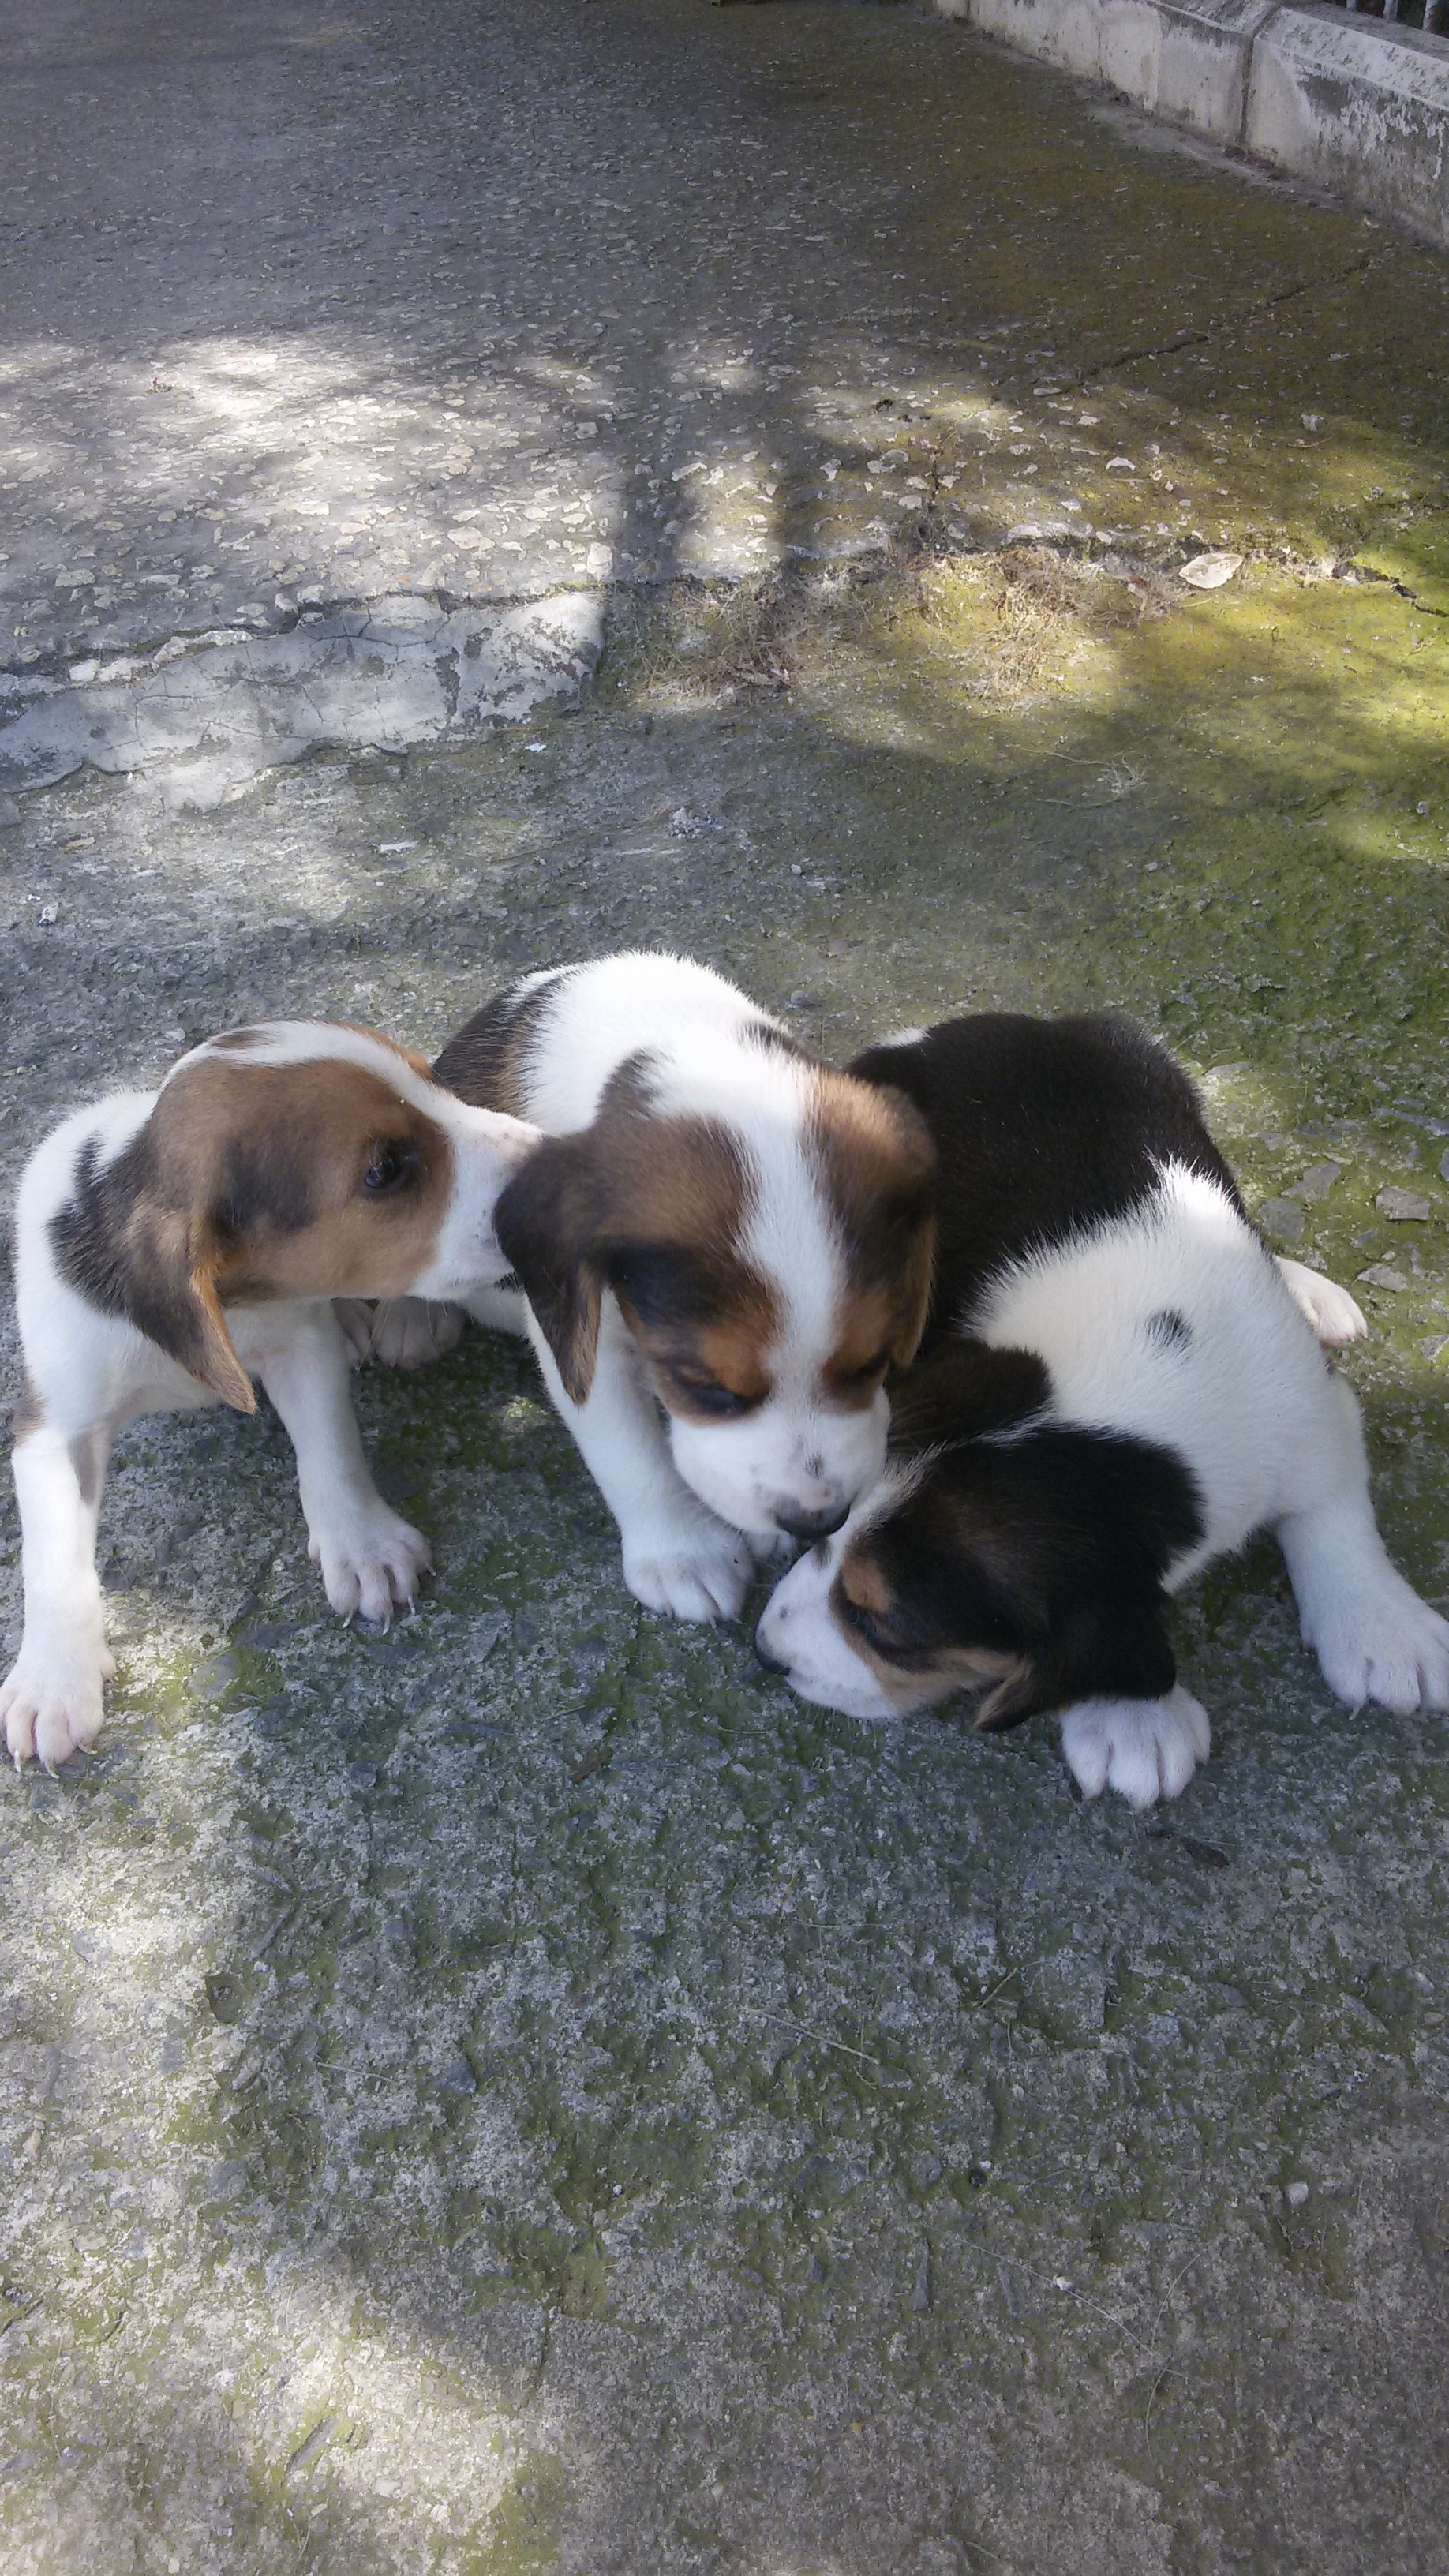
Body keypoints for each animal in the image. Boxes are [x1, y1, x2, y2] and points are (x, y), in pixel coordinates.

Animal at [2, 1021, 538, 1768]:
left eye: (435, 1081)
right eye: (384, 1170)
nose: (555, 1158)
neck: (232, 1304)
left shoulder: (301, 1347)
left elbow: (332, 1452)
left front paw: (361, 1543)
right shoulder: (52, 1429)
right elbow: (51, 1558)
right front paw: (54, 1677)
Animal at [426, 953, 938, 1623]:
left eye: (873, 1364)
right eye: (704, 1387)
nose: (816, 1521)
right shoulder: (587, 1342)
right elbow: (629, 1453)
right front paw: (683, 1555)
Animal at [756, 1011, 1449, 1809]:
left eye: (882, 1629)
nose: (764, 1653)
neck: (1148, 1382)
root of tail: (938, 1032)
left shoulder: (1310, 1408)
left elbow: (1335, 1509)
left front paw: (1381, 1627)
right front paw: (1131, 1721)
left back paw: (1307, 1289)